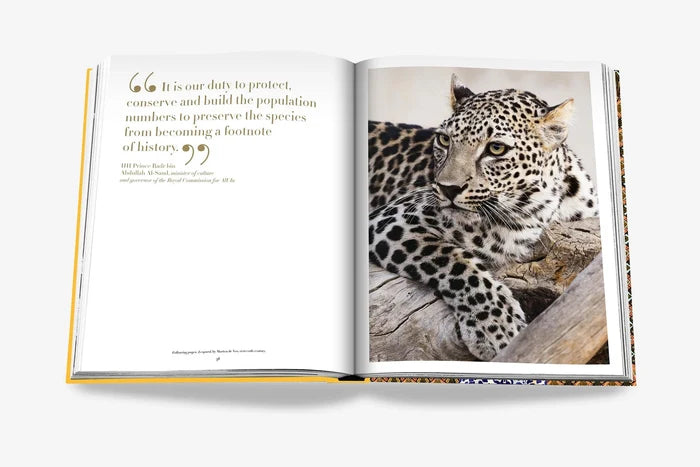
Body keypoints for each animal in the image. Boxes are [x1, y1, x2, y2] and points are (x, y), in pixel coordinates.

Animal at [368, 75, 598, 361]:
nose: (448, 188)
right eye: (444, 140)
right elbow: (455, 262)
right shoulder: (394, 219)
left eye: (496, 148)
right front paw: (497, 328)